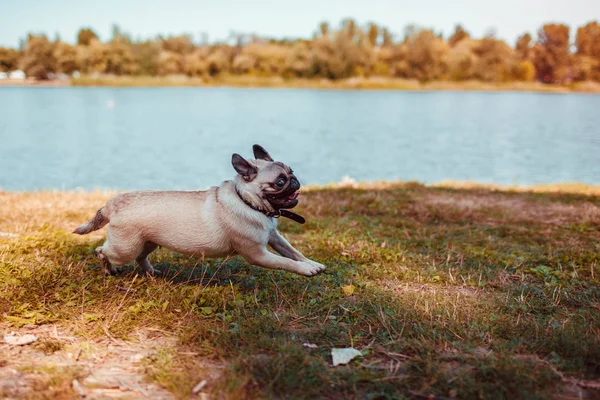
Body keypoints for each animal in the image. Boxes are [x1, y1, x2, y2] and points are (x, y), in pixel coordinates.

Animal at [74, 144, 328, 278]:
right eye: (279, 182)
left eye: (292, 171)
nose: (295, 181)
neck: (248, 201)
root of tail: (111, 204)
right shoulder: (258, 254)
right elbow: (285, 262)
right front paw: (305, 270)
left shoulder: (275, 238)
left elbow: (293, 252)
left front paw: (312, 263)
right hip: (124, 248)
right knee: (102, 251)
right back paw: (108, 269)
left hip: (147, 242)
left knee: (140, 256)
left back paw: (151, 272)